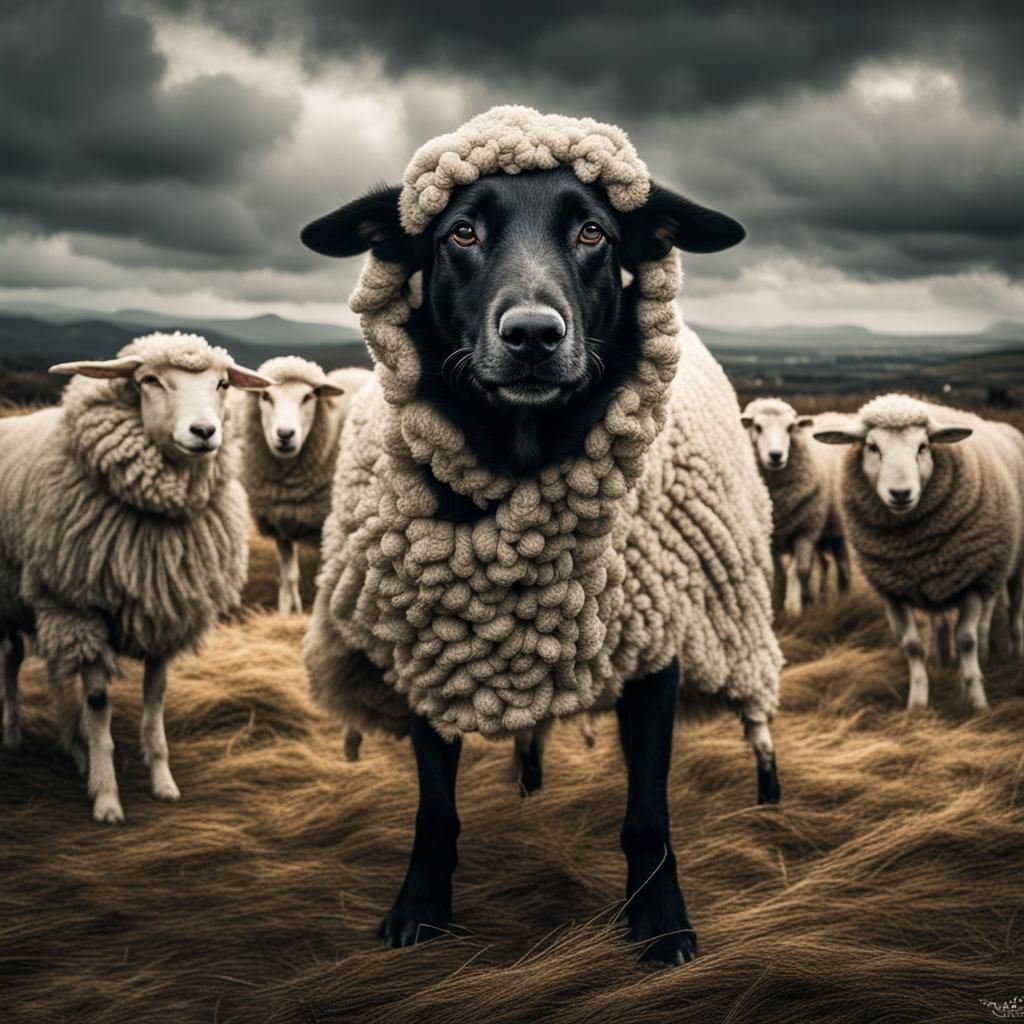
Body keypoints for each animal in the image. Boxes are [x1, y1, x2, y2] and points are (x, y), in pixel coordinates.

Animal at [0, 331, 271, 822]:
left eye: (223, 383)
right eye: (149, 380)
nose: (205, 431)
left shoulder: (166, 613)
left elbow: (154, 701)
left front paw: (163, 782)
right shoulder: (82, 609)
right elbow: (98, 704)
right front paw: (106, 797)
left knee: (41, 666)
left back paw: (71, 746)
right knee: (12, 660)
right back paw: (14, 733)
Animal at [238, 357, 372, 616]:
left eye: (308, 396)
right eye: (265, 395)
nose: (285, 434)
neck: (289, 487)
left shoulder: (324, 527)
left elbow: (322, 578)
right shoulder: (280, 522)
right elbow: (288, 576)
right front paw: (287, 614)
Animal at [300, 105, 783, 962]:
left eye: (595, 232)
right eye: (460, 231)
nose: (532, 334)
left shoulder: (655, 650)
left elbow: (647, 812)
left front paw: (663, 927)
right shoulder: (431, 645)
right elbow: (435, 808)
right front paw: (417, 913)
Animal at [741, 398, 850, 618]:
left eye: (790, 428)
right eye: (757, 427)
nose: (775, 456)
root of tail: (836, 414)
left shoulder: (807, 530)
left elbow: (799, 570)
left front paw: (796, 606)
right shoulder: (772, 536)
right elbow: (778, 572)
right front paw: (778, 602)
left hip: (837, 528)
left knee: (842, 563)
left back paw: (843, 596)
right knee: (825, 564)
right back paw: (821, 597)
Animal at [815, 393, 1024, 711]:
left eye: (923, 446)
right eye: (872, 447)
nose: (900, 494)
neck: (912, 548)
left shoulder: (973, 582)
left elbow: (967, 639)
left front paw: (977, 701)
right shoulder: (892, 590)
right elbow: (912, 645)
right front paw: (917, 703)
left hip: (1010, 565)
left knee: (1006, 613)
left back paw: (1008, 653)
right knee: (943, 624)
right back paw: (944, 660)